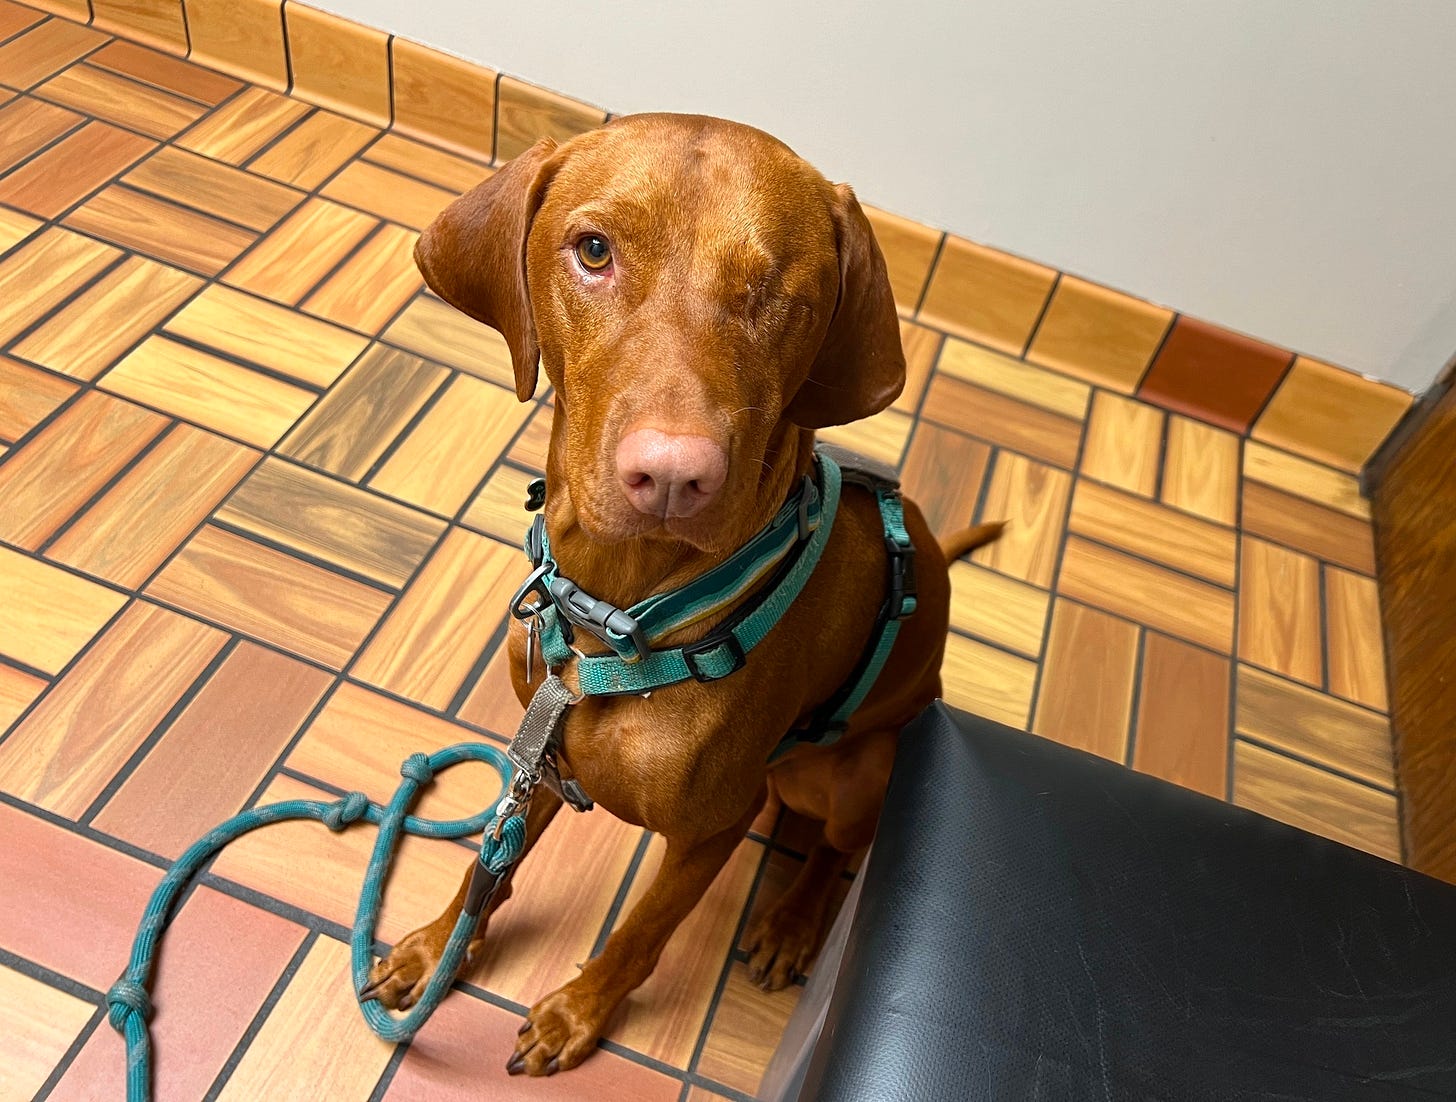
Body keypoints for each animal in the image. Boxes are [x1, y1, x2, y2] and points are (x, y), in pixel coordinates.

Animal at [364, 112, 1001, 1077]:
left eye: (780, 291)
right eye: (593, 251)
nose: (671, 476)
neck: (620, 615)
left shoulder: (712, 827)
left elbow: (640, 933)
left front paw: (577, 1014)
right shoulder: (541, 751)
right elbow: (489, 866)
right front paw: (440, 948)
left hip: (862, 769)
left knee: (835, 850)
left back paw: (792, 922)